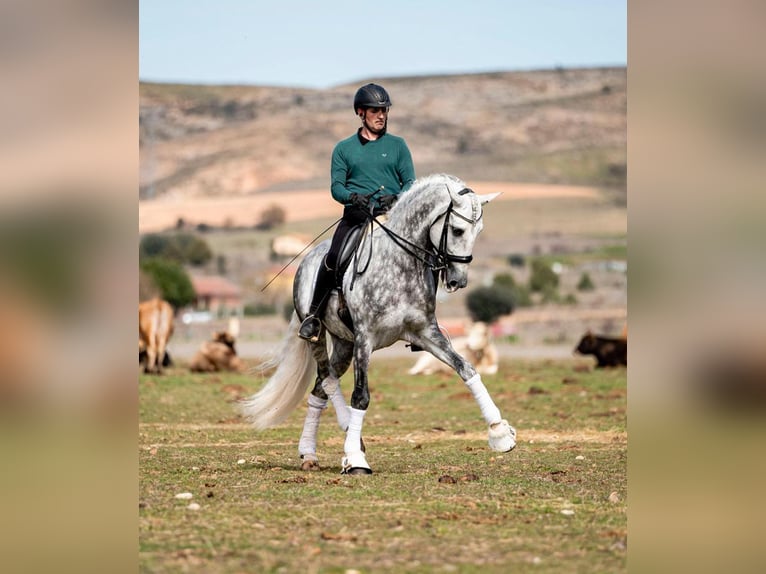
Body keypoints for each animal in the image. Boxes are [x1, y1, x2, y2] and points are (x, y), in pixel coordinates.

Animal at [241, 174, 516, 474]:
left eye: (479, 231)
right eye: (456, 230)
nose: (458, 281)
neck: (400, 266)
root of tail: (309, 258)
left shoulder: (426, 334)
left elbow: (467, 369)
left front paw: (500, 432)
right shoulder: (365, 338)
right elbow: (360, 396)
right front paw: (355, 457)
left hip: (344, 344)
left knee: (319, 388)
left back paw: (309, 453)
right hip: (318, 335)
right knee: (327, 379)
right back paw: (348, 437)